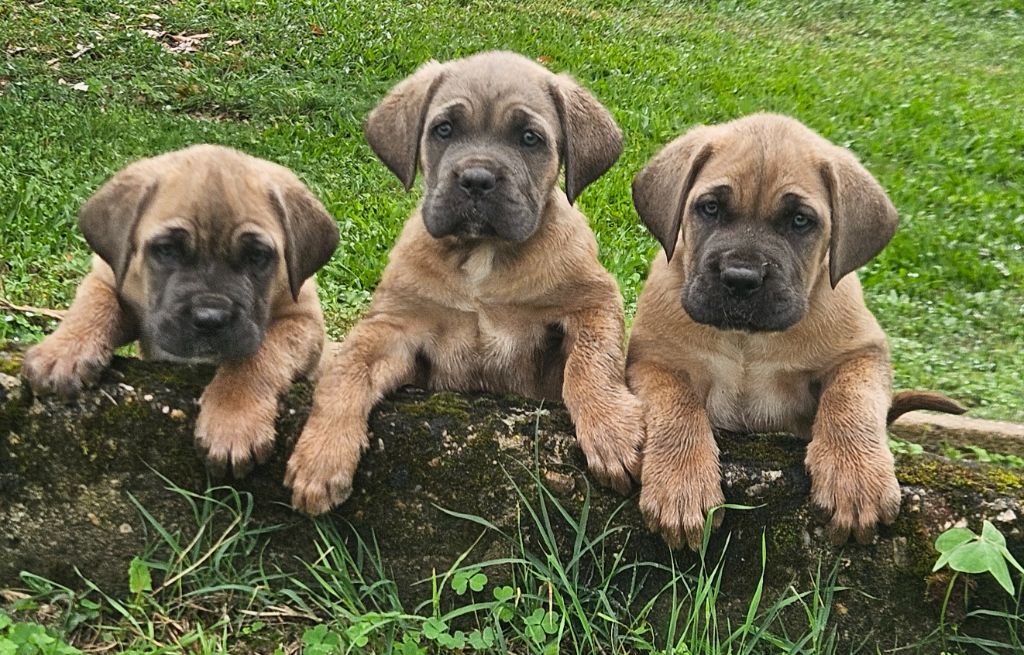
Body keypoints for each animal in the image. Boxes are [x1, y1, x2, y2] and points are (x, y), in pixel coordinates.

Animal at [24, 145, 337, 474]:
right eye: (167, 250)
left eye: (257, 256)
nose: (210, 319)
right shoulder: (111, 279)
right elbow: (94, 302)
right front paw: (63, 352)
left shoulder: (303, 321)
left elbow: (259, 356)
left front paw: (233, 419)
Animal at [284, 51, 643, 513]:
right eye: (444, 130)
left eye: (529, 139)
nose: (476, 179)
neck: (482, 257)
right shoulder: (394, 327)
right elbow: (348, 370)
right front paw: (321, 456)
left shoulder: (593, 301)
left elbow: (591, 363)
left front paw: (612, 431)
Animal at [626, 112, 962, 548]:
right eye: (710, 208)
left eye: (800, 221)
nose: (741, 279)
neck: (747, 341)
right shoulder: (654, 360)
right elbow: (677, 405)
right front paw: (681, 484)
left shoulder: (863, 352)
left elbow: (850, 399)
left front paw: (855, 475)